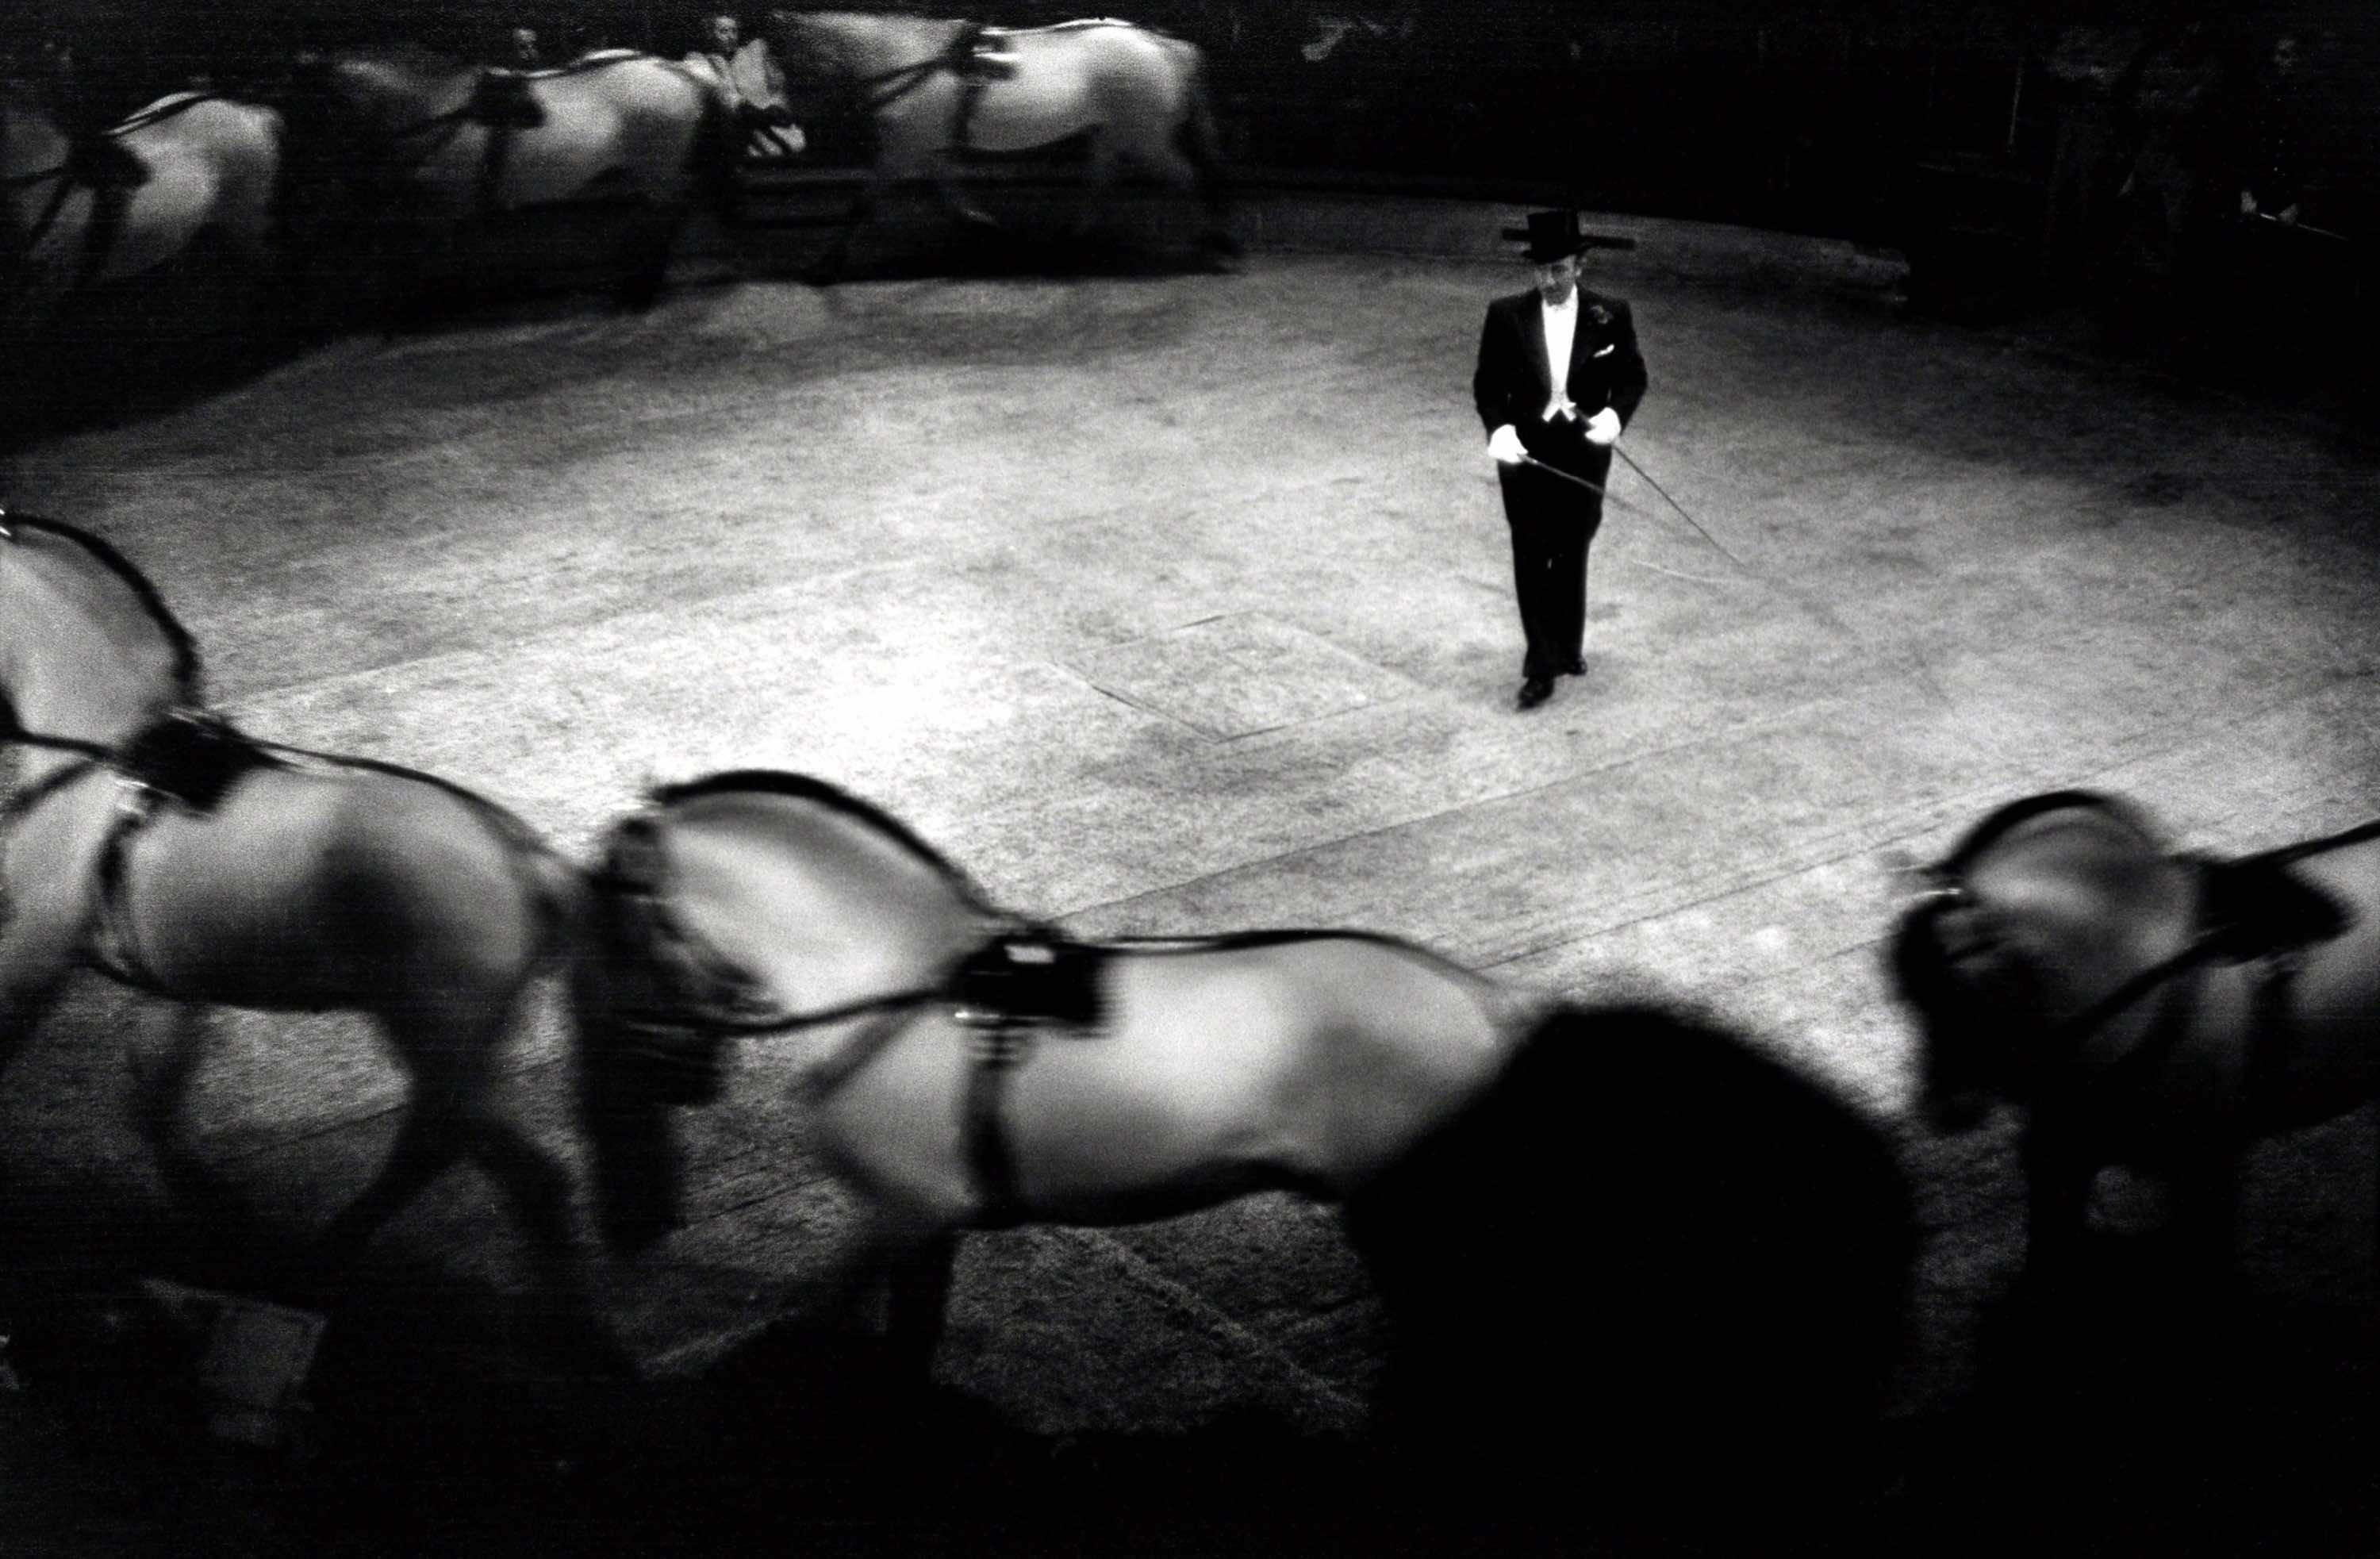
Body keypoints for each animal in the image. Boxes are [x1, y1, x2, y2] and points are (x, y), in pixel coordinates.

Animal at [0, 512, 616, 1362]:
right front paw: (218, 1221)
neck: (108, 759)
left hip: (437, 1033)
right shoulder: (170, 991)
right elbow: (155, 1106)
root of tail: (522, 859)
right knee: (446, 1149)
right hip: (460, 1046)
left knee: (513, 1173)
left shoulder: (32, 961)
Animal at [278, 46, 740, 314]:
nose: (295, 178)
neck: (440, 109)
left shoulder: (442, 208)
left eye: (306, 107)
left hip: (659, 171)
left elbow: (432, 254)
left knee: (666, 218)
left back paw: (640, 291)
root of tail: (680, 71)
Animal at [571, 768, 1918, 1518]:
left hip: (1405, 1217)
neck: (906, 991)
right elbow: (897, 1337)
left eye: (617, 924)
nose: (663, 1067)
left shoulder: (897, 1211)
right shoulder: (927, 1225)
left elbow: (823, 1316)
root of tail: (1492, 1011)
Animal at [762, 10, 1233, 277]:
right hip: (1111, 132)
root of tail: (1164, 44)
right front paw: (983, 225)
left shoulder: (901, 151)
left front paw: (824, 267)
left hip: (1144, 137)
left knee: (1188, 177)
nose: (782, 122)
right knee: (1103, 181)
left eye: (779, 62)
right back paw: (1073, 240)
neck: (911, 60)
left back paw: (1215, 241)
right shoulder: (925, 149)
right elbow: (950, 193)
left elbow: (861, 204)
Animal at [1888, 789, 2380, 1291]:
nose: (1946, 1110)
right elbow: (2051, 1246)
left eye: (1961, 986)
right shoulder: (2064, 1154)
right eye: (1905, 995)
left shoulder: (2204, 1164)